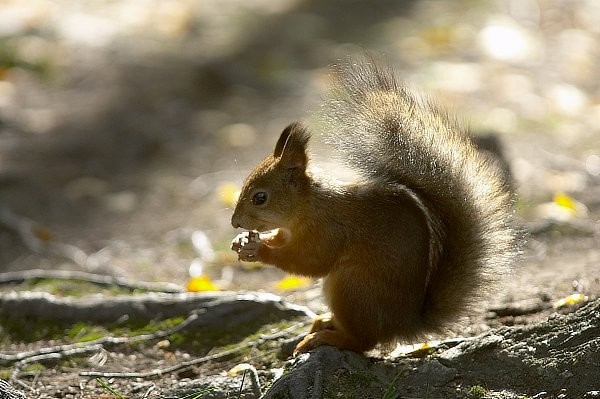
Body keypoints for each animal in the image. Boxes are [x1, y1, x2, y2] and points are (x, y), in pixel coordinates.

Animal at [230, 58, 516, 354]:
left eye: (260, 197)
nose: (235, 222)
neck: (308, 205)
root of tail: (403, 324)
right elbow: (281, 239)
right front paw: (244, 241)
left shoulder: (329, 230)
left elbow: (309, 261)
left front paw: (259, 249)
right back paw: (324, 322)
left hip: (351, 286)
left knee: (363, 342)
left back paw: (328, 337)